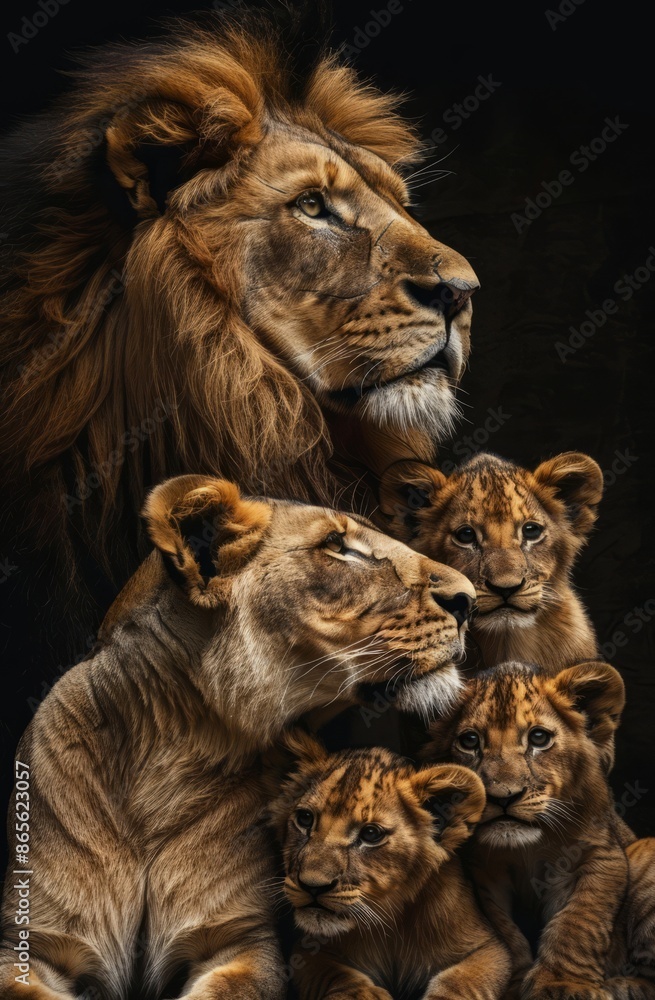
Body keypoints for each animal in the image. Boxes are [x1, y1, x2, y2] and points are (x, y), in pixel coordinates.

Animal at [268, 730, 511, 1000]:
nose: (312, 886)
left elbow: (461, 981)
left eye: (371, 834)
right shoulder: (307, 952)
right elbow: (336, 975)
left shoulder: (490, 947)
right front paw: (363, 995)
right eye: (305, 819)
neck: (391, 926)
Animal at [424, 661, 655, 1000]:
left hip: (645, 851)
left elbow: (579, 922)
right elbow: (506, 931)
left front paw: (561, 984)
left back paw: (622, 985)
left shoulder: (602, 855)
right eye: (469, 741)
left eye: (538, 738)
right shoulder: (485, 874)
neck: (528, 848)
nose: (503, 796)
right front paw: (517, 983)